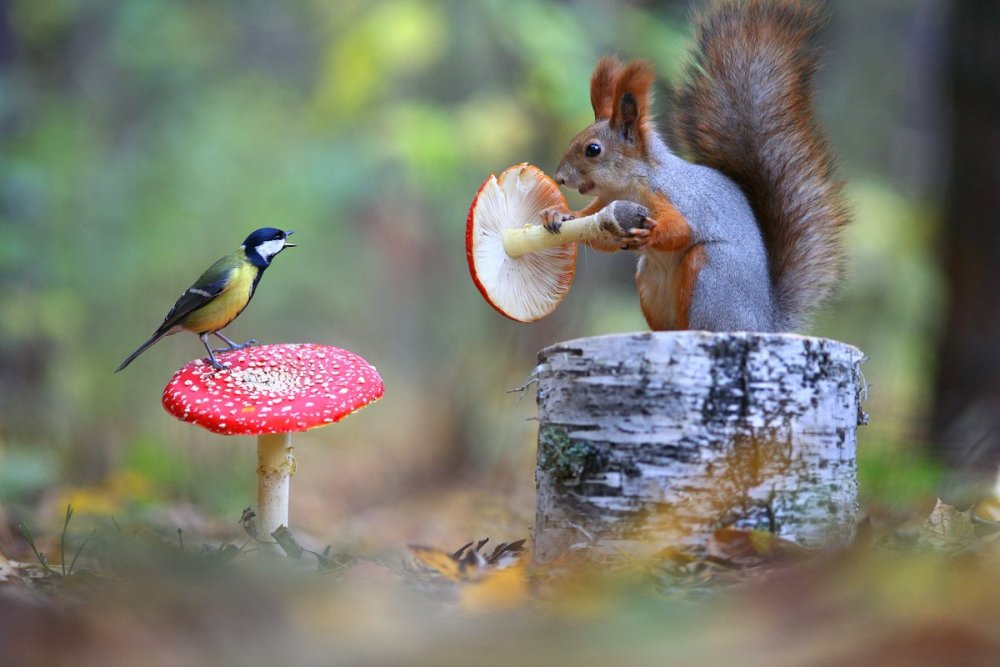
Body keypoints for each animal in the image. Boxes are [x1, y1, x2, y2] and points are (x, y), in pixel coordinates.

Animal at [544, 0, 848, 334]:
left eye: (593, 150)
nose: (560, 178)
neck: (630, 184)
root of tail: (761, 323)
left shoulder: (674, 196)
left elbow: (682, 230)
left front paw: (651, 235)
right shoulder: (607, 206)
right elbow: (596, 231)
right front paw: (559, 214)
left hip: (709, 274)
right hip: (650, 280)